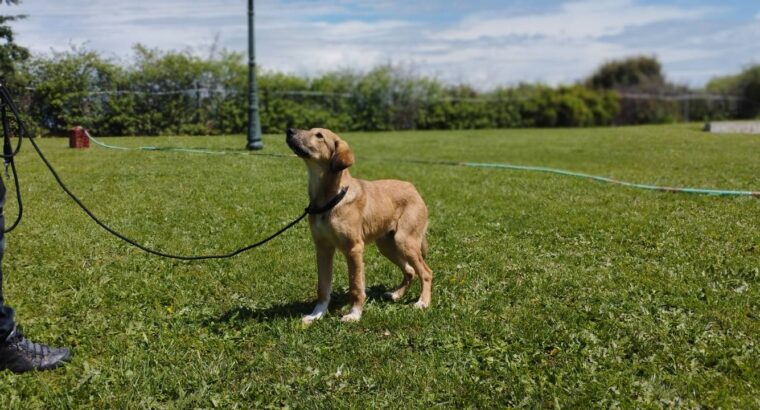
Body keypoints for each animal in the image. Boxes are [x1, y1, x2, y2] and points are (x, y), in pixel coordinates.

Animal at [286, 126, 434, 322]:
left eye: (319, 136)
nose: (289, 130)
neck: (330, 198)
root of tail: (412, 187)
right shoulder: (323, 248)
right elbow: (323, 287)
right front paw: (316, 315)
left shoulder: (354, 248)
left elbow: (356, 285)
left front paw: (354, 314)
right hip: (387, 245)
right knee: (410, 271)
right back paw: (396, 294)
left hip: (405, 241)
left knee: (426, 272)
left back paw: (423, 302)